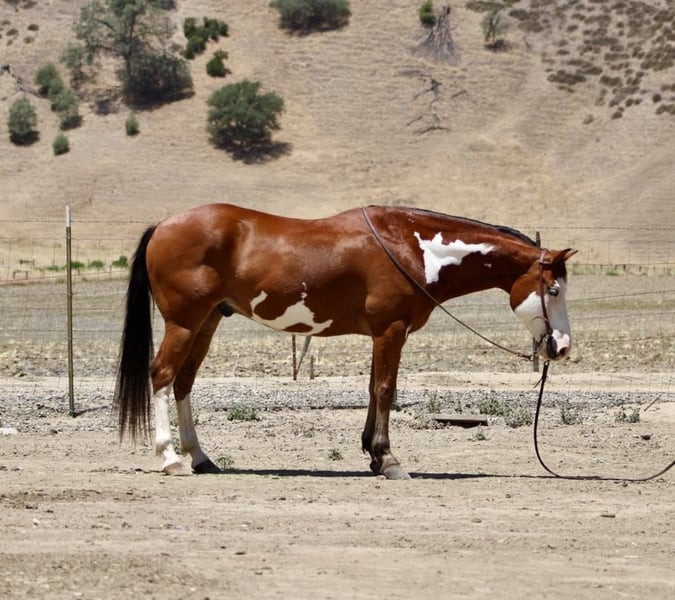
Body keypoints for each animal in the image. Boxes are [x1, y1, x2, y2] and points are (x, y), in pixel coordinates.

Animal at [114, 203, 576, 479]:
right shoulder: (391, 330)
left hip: (207, 322)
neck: (412, 247)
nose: (562, 346)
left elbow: (373, 390)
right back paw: (171, 458)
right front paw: (388, 460)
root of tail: (163, 226)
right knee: (162, 376)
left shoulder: (381, 333)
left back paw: (200, 457)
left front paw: (372, 454)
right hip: (184, 323)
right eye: (554, 290)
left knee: (183, 383)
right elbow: (386, 389)